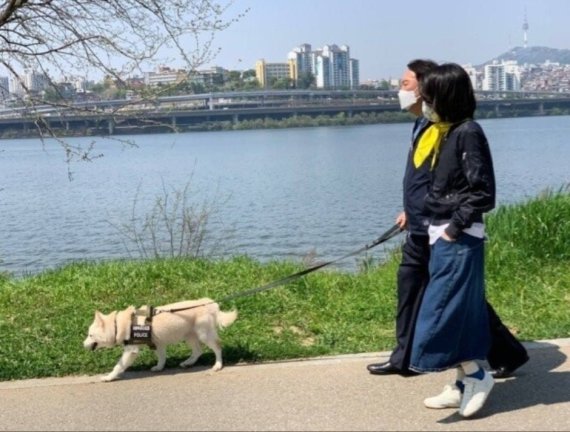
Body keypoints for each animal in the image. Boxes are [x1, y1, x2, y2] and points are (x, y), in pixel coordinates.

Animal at [82, 300, 235, 382]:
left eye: (90, 335)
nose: (82, 345)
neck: (118, 324)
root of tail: (210, 304)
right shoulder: (158, 344)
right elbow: (161, 357)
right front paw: (159, 367)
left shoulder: (131, 351)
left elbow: (118, 366)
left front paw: (109, 377)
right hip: (188, 336)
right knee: (198, 351)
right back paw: (188, 363)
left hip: (204, 335)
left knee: (217, 347)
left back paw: (218, 365)